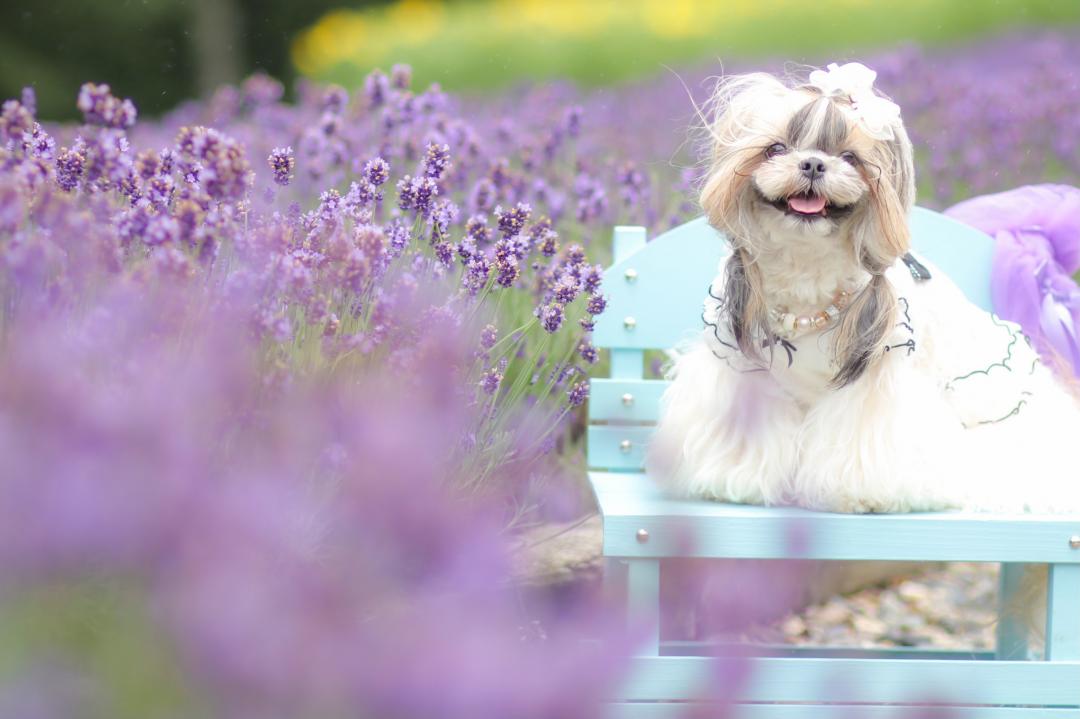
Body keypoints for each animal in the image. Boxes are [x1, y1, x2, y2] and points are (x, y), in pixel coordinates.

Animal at [643, 60, 1080, 509]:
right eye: (776, 149)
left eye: (850, 157)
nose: (813, 164)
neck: (805, 267)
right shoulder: (742, 364)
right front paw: (734, 479)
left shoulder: (875, 378)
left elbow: (860, 438)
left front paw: (861, 494)